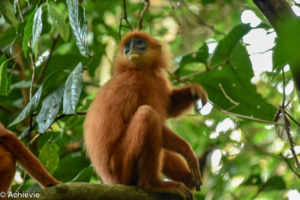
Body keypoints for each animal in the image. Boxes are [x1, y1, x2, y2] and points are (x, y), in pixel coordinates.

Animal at [83, 30, 207, 200]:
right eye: (127, 46)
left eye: (139, 43)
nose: (130, 49)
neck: (142, 71)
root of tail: (110, 180)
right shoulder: (132, 82)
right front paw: (187, 151)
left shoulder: (158, 79)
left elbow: (169, 107)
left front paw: (194, 91)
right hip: (121, 166)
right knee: (148, 115)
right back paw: (152, 185)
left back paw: (187, 179)